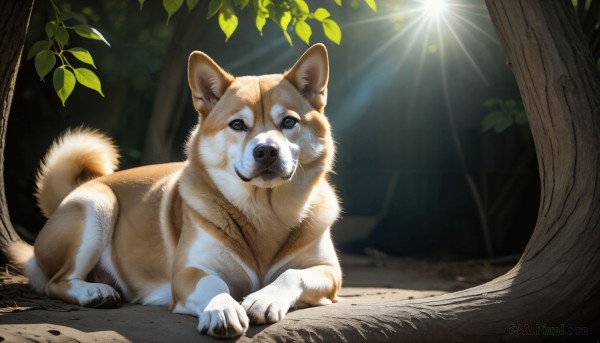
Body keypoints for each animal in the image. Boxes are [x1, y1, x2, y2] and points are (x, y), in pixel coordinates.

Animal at [8, 43, 342, 338]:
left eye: (288, 122)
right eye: (237, 124)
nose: (267, 151)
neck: (263, 211)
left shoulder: (329, 272)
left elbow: (292, 273)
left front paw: (264, 298)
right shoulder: (188, 272)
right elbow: (214, 285)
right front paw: (222, 309)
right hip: (97, 205)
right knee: (56, 282)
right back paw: (95, 291)